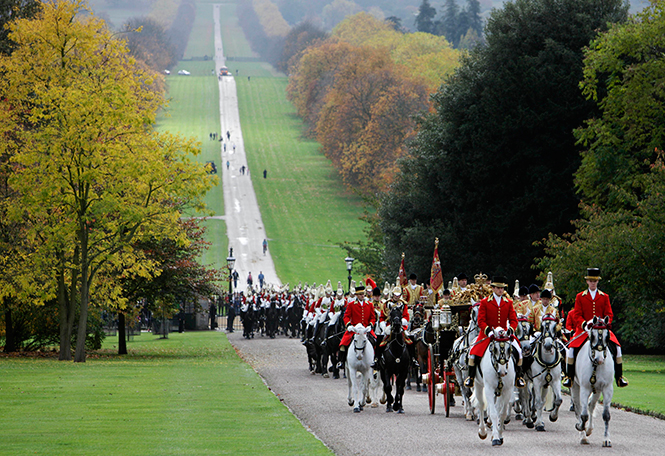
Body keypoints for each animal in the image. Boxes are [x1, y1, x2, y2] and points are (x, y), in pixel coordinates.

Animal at [568, 318, 616, 446]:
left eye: (607, 336)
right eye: (592, 336)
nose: (599, 359)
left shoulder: (607, 388)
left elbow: (606, 415)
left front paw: (606, 439)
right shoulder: (584, 388)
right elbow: (583, 415)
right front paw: (581, 428)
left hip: (597, 390)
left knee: (591, 405)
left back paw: (589, 429)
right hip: (575, 387)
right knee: (578, 409)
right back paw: (583, 435)